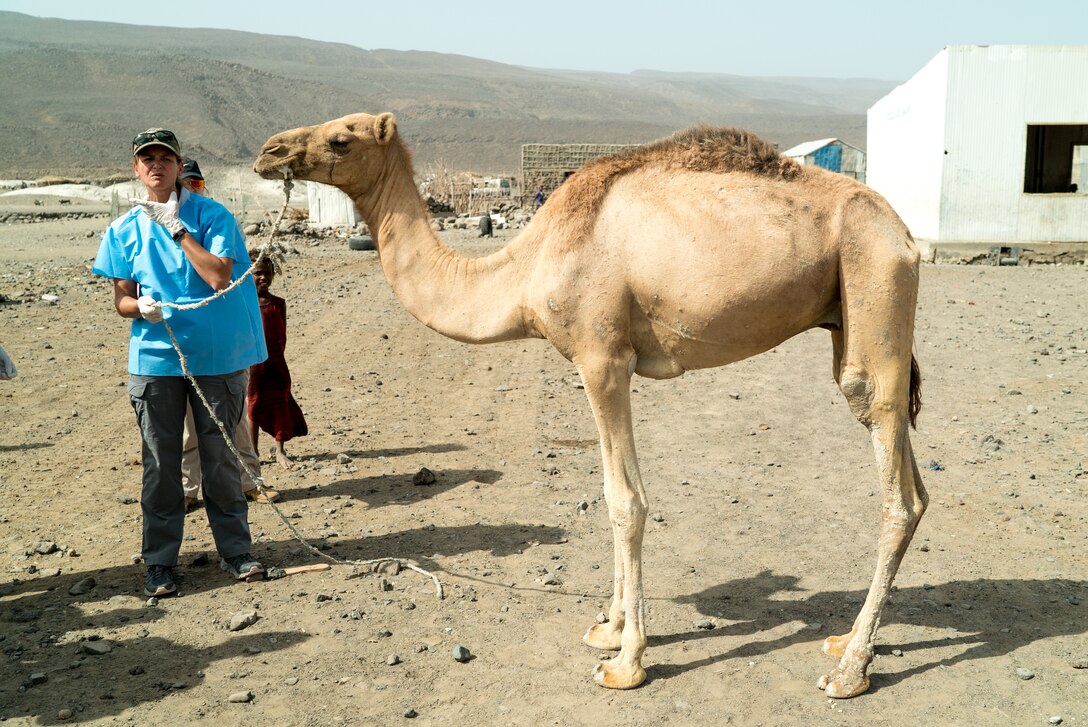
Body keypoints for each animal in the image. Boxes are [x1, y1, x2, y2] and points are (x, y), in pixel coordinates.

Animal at [254, 113, 926, 696]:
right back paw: (843, 642)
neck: (523, 270)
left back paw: (850, 671)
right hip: (849, 313)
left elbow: (626, 501)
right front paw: (609, 627)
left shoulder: (603, 358)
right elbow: (609, 494)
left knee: (888, 469)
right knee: (913, 484)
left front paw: (627, 662)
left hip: (873, 281)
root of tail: (906, 235)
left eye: (341, 139)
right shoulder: (595, 362)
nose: (269, 151)